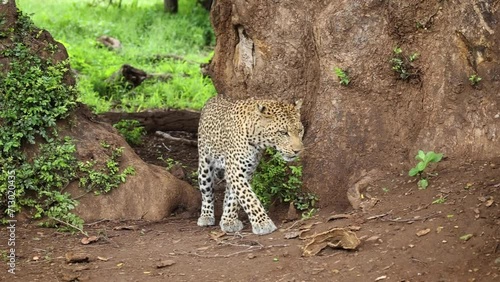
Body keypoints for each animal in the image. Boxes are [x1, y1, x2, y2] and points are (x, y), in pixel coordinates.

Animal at [196, 96, 304, 235]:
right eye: (283, 133)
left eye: (300, 130)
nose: (298, 151)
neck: (257, 139)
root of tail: (212, 98)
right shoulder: (235, 171)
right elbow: (248, 197)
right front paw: (263, 223)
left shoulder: (246, 171)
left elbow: (235, 198)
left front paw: (229, 220)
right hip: (205, 163)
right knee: (207, 191)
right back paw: (206, 216)